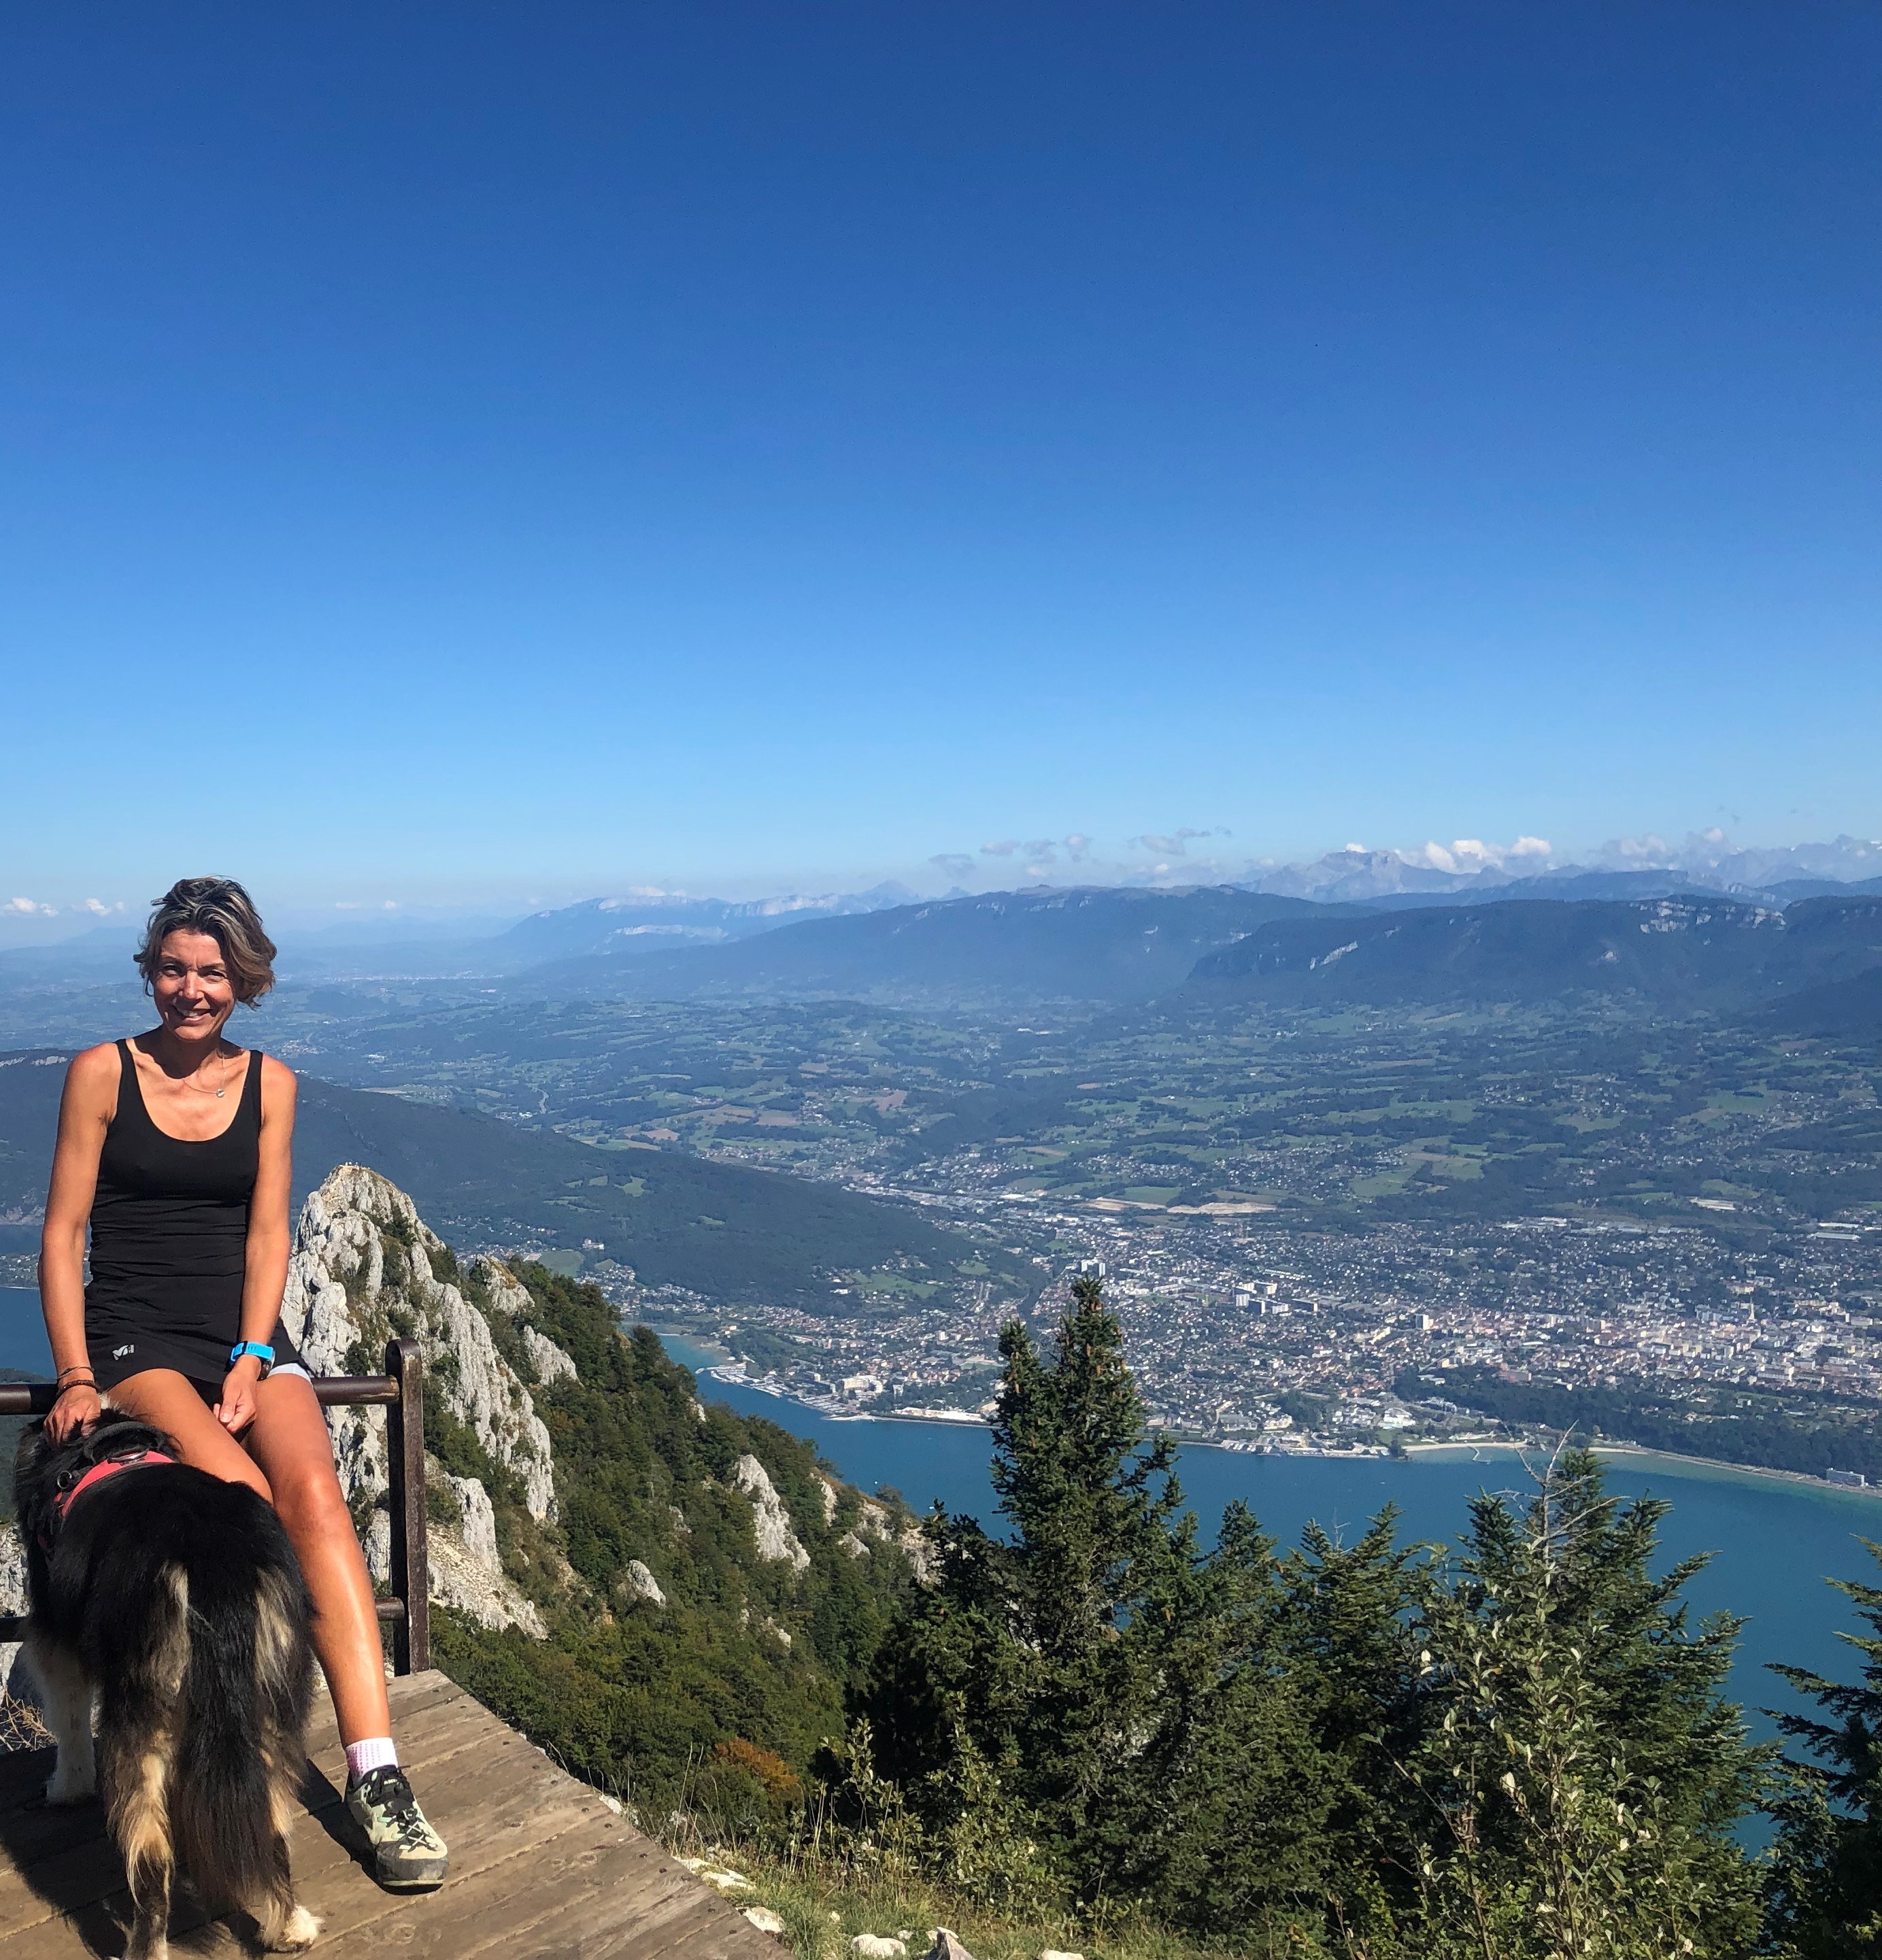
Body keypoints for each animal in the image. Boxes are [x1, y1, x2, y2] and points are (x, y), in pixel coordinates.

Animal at [13, 1410, 321, 1959]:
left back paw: (146, 1947)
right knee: (272, 1824)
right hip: (271, 1693)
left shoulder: (55, 1638)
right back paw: (289, 1926)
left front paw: (68, 1786)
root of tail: (211, 1557)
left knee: (151, 1865)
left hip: (143, 1715)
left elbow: (68, 1719)